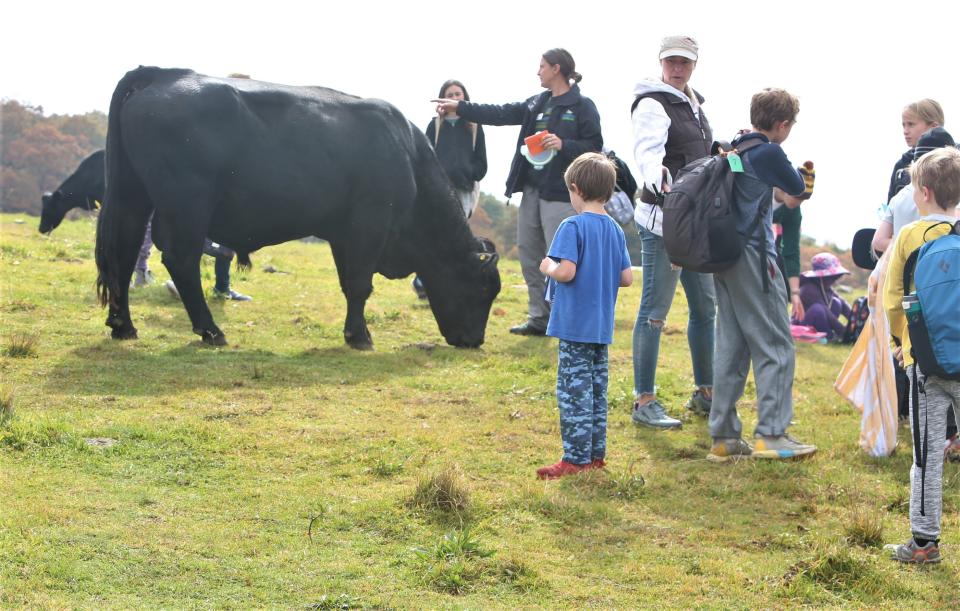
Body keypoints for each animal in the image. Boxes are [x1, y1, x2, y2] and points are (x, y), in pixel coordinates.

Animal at [96, 67, 502, 350]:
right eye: (485, 289)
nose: (475, 341)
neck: (408, 154)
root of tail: (165, 74)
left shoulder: (343, 233)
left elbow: (349, 283)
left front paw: (353, 332)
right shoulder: (370, 223)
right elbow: (360, 284)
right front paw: (360, 337)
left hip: (133, 196)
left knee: (123, 253)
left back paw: (123, 326)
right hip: (187, 205)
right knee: (180, 260)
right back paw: (211, 330)